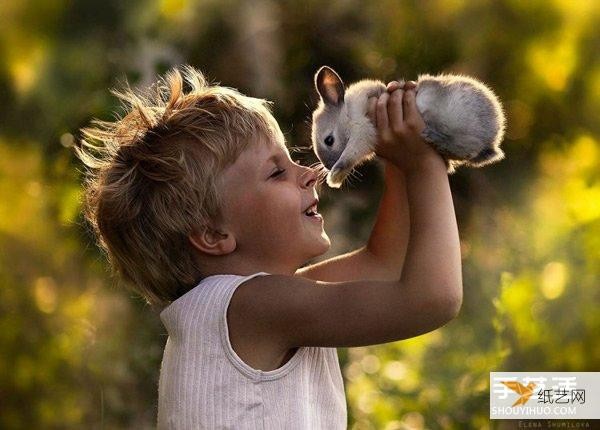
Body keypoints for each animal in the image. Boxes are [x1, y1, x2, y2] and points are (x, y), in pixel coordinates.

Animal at [310, 66, 506, 187]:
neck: (348, 114)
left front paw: (334, 177)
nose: (327, 166)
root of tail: (493, 138)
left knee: (468, 148)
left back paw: (435, 138)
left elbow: (350, 155)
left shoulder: (363, 131)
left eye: (329, 140)